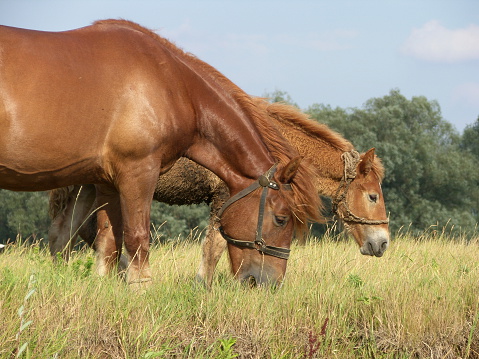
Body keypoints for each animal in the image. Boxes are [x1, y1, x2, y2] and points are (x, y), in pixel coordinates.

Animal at [0, 21, 322, 286]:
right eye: (281, 219)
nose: (270, 283)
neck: (174, 86)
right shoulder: (138, 172)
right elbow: (137, 238)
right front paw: (140, 291)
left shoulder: (106, 183)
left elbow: (108, 242)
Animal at [47, 98, 390, 286]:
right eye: (372, 196)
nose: (382, 243)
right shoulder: (225, 198)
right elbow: (213, 247)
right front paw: (203, 286)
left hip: (87, 188)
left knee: (67, 233)